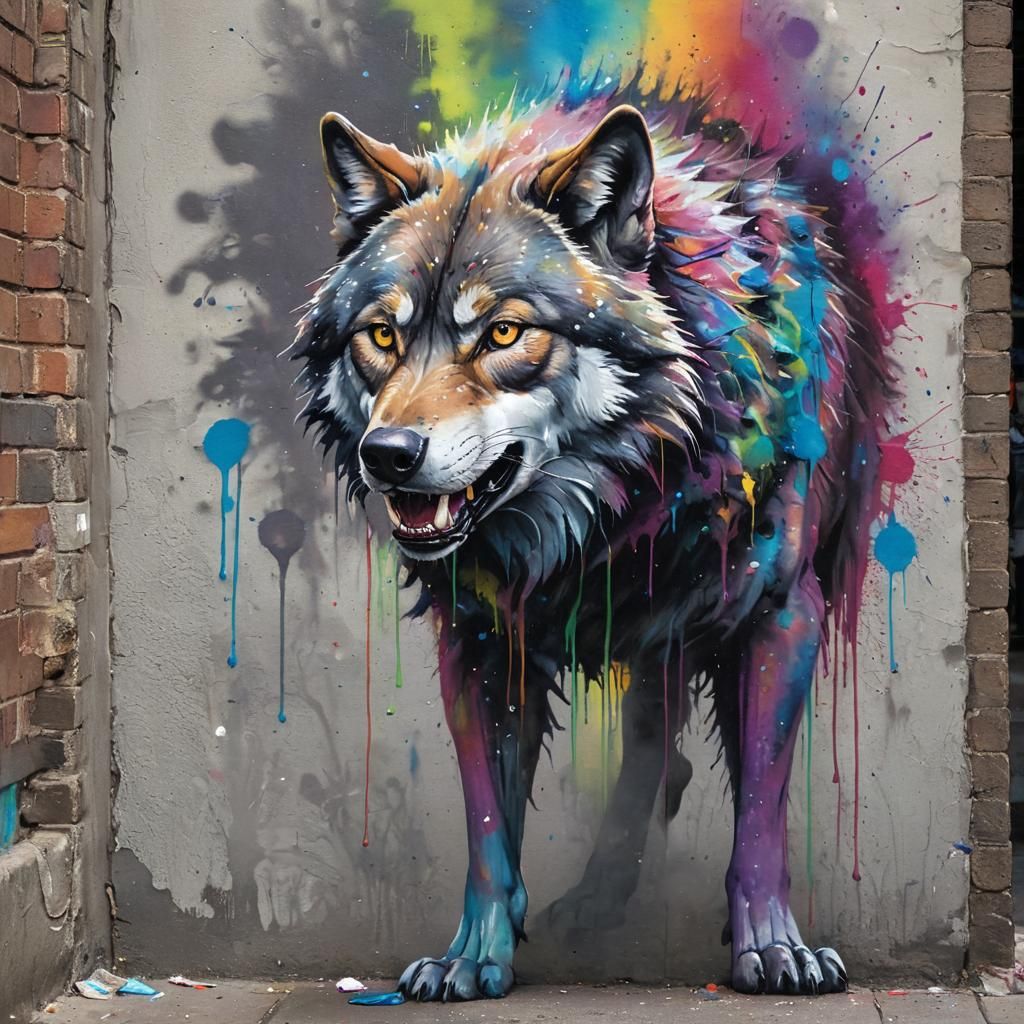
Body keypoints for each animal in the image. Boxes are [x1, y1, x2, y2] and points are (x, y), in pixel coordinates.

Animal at [293, 78, 893, 1000]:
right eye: (382, 335)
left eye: (504, 333)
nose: (388, 455)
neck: (615, 509)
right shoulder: (478, 640)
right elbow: (488, 823)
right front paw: (474, 956)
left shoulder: (781, 613)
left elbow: (760, 807)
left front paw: (773, 948)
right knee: (654, 754)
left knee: (665, 756)